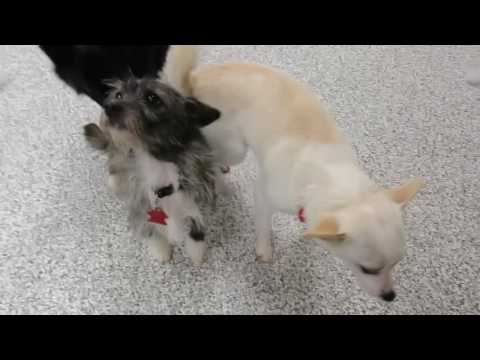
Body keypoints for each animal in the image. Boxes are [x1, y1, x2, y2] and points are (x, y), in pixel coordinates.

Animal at [84, 77, 223, 266]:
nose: (109, 107)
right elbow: (150, 231)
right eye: (118, 95)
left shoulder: (200, 194)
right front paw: (161, 251)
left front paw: (196, 254)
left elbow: (197, 228)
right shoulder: (139, 203)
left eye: (152, 98)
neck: (155, 160)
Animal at [165, 47, 424, 300]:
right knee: (212, 159)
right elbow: (263, 227)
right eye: (368, 269)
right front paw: (264, 250)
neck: (328, 174)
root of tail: (194, 79)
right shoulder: (263, 195)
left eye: (396, 264)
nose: (390, 296)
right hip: (235, 148)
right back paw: (221, 181)